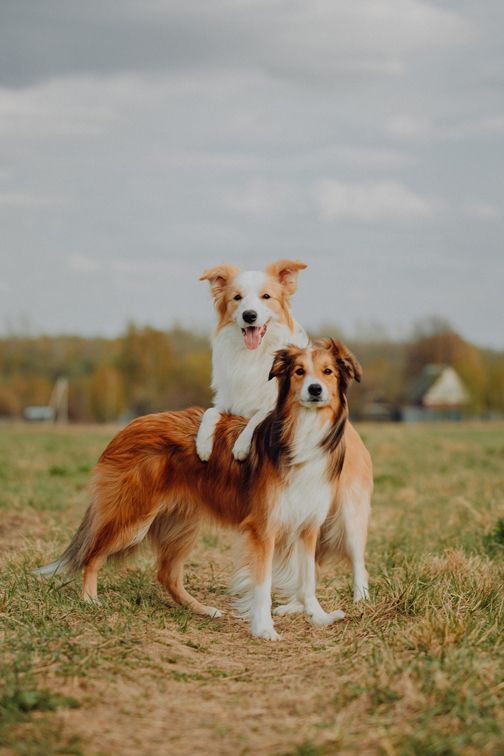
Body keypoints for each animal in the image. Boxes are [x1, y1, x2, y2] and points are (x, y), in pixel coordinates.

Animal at [37, 340, 372, 640]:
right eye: (300, 371)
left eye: (328, 372)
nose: (315, 390)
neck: (303, 432)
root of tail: (129, 427)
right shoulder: (263, 529)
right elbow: (262, 583)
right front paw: (264, 629)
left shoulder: (307, 527)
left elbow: (308, 580)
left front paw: (318, 616)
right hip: (133, 517)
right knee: (93, 554)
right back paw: (90, 600)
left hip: (185, 523)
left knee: (167, 574)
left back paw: (203, 609)